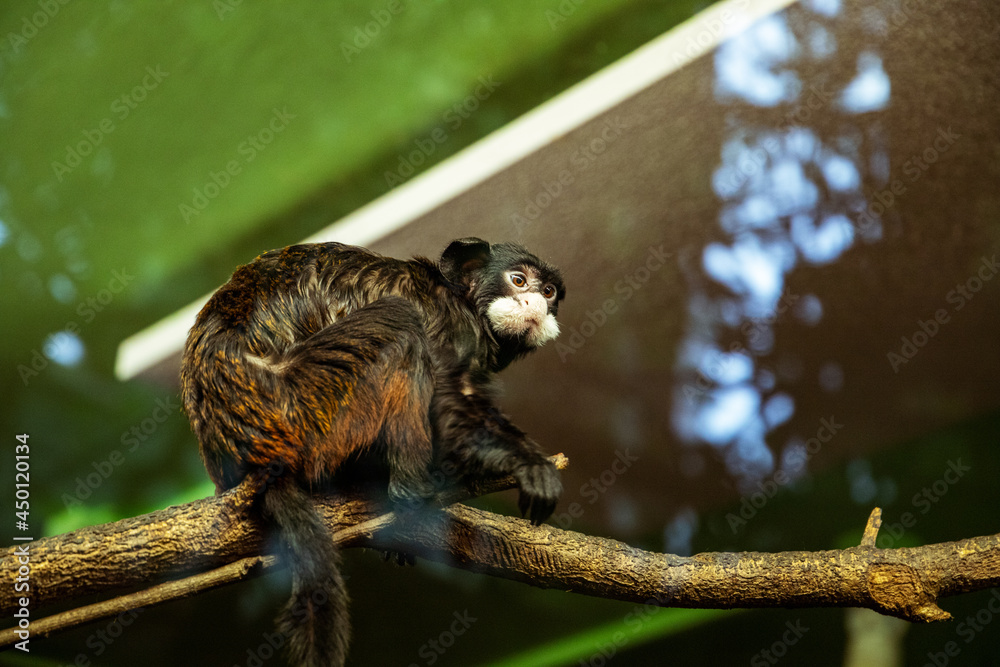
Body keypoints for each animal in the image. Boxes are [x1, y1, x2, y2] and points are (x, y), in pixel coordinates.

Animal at [179, 238, 565, 666]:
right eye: (519, 280)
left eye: (549, 291)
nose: (536, 302)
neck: (460, 300)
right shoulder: (445, 323)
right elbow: (449, 403)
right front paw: (528, 463)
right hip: (306, 404)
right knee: (399, 320)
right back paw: (409, 491)